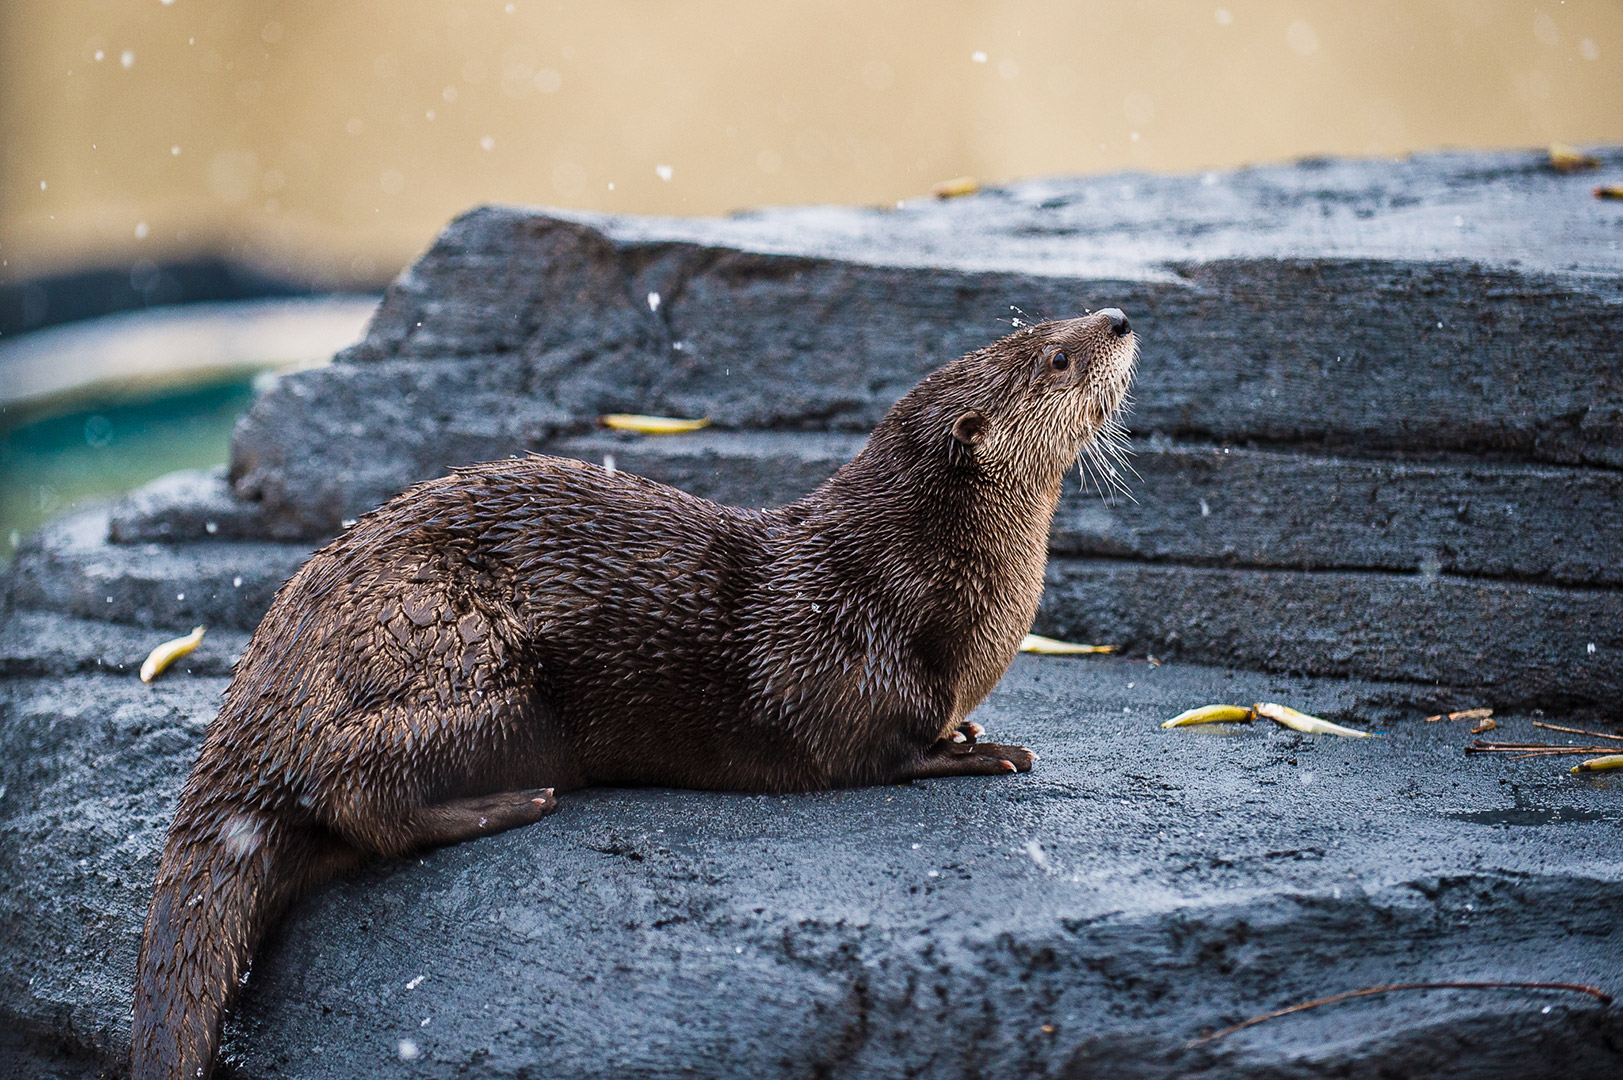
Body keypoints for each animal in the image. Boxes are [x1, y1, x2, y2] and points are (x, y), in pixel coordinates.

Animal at [133, 306, 1136, 1071]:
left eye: (1038, 324)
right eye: (1056, 356)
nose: (1119, 317)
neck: (918, 577)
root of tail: (262, 685)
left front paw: (973, 731)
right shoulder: (845, 661)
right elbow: (871, 749)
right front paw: (981, 751)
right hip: (461, 659)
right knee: (350, 789)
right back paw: (505, 805)